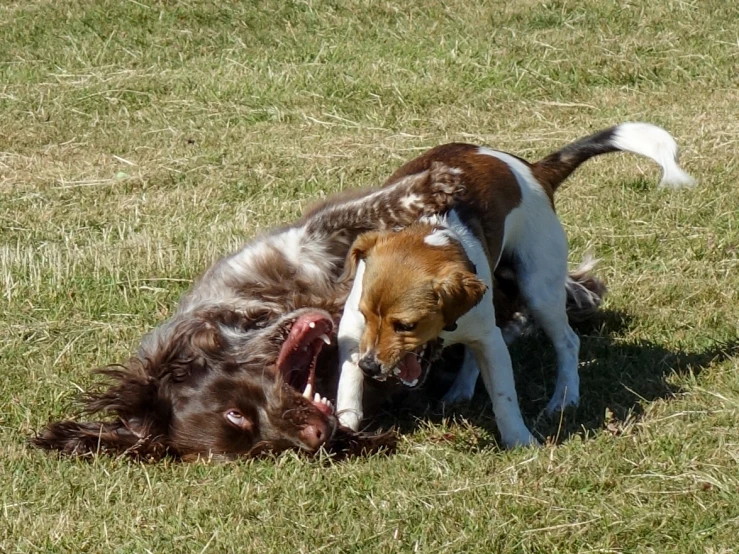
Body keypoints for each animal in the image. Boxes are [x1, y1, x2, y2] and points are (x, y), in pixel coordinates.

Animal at [338, 121, 696, 444]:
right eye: (367, 315)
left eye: (406, 326)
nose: (370, 366)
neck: (428, 228)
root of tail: (535, 169)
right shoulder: (353, 331)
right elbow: (348, 385)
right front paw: (345, 423)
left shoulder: (492, 342)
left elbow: (504, 398)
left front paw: (519, 441)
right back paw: (460, 391)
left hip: (540, 291)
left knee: (568, 342)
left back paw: (564, 397)